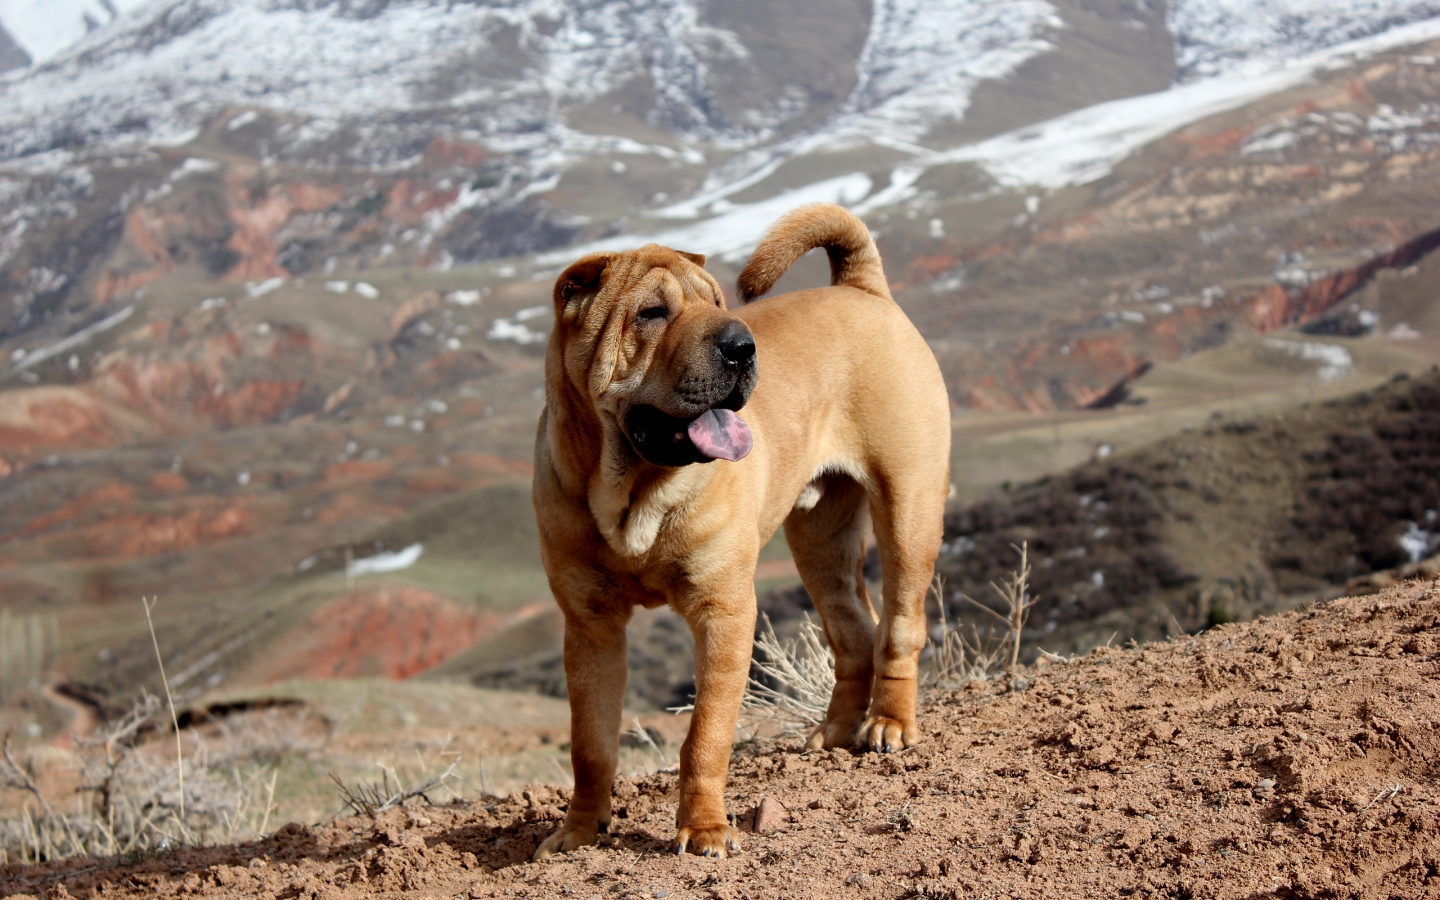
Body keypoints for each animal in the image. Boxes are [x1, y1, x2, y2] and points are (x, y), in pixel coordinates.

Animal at [535, 201, 950, 858]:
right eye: (651, 313)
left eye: (717, 302)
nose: (740, 345)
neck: (633, 493)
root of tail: (863, 290)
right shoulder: (591, 626)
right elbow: (590, 743)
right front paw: (577, 832)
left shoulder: (723, 610)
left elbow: (704, 734)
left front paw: (705, 830)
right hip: (820, 542)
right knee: (854, 631)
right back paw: (834, 732)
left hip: (909, 510)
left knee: (902, 625)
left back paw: (889, 724)